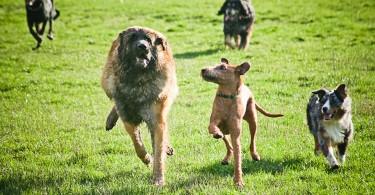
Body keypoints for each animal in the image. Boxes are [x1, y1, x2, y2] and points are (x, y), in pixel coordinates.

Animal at [100, 26, 178, 186]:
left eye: (148, 40)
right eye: (132, 38)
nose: (142, 46)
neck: (137, 79)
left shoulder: (157, 120)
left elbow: (158, 150)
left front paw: (158, 179)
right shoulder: (128, 118)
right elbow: (137, 144)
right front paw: (147, 158)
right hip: (107, 83)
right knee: (114, 101)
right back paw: (110, 120)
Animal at [201, 58, 284, 187]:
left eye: (223, 67)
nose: (203, 70)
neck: (227, 97)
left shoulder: (235, 134)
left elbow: (238, 160)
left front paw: (238, 181)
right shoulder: (215, 120)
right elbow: (211, 126)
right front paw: (216, 133)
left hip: (253, 121)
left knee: (252, 140)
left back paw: (254, 155)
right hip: (228, 130)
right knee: (227, 143)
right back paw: (226, 156)